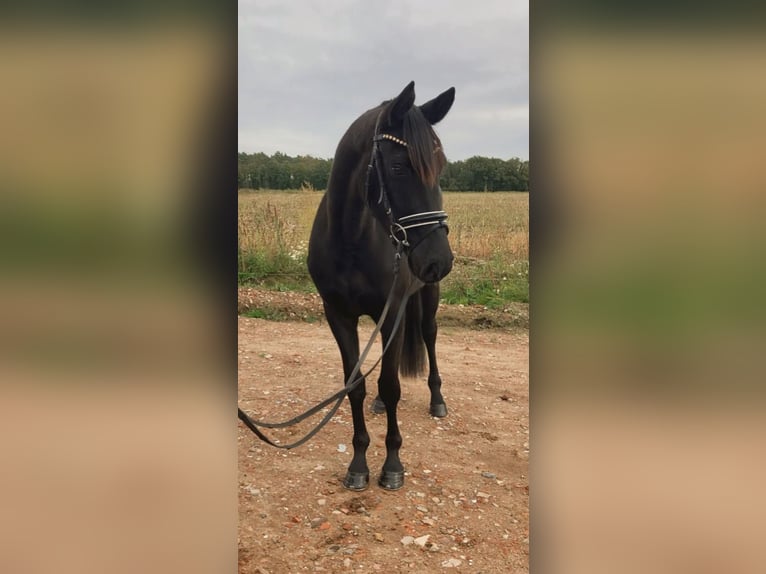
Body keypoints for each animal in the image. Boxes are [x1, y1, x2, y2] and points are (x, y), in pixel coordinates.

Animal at [308, 81, 460, 492]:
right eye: (397, 167)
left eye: (441, 166)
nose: (439, 260)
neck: (350, 238)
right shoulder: (338, 316)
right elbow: (355, 385)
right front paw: (359, 463)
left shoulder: (392, 313)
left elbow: (392, 384)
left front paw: (392, 464)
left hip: (427, 299)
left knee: (429, 336)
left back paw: (437, 400)